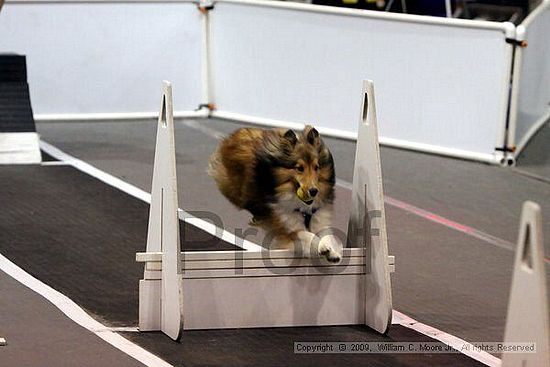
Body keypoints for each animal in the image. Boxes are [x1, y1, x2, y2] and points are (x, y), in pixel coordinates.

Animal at [209, 126, 342, 262]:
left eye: (317, 167)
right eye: (299, 168)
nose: (314, 191)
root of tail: (236, 132)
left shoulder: (319, 218)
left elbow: (327, 234)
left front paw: (333, 251)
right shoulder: (286, 227)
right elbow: (306, 235)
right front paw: (321, 246)